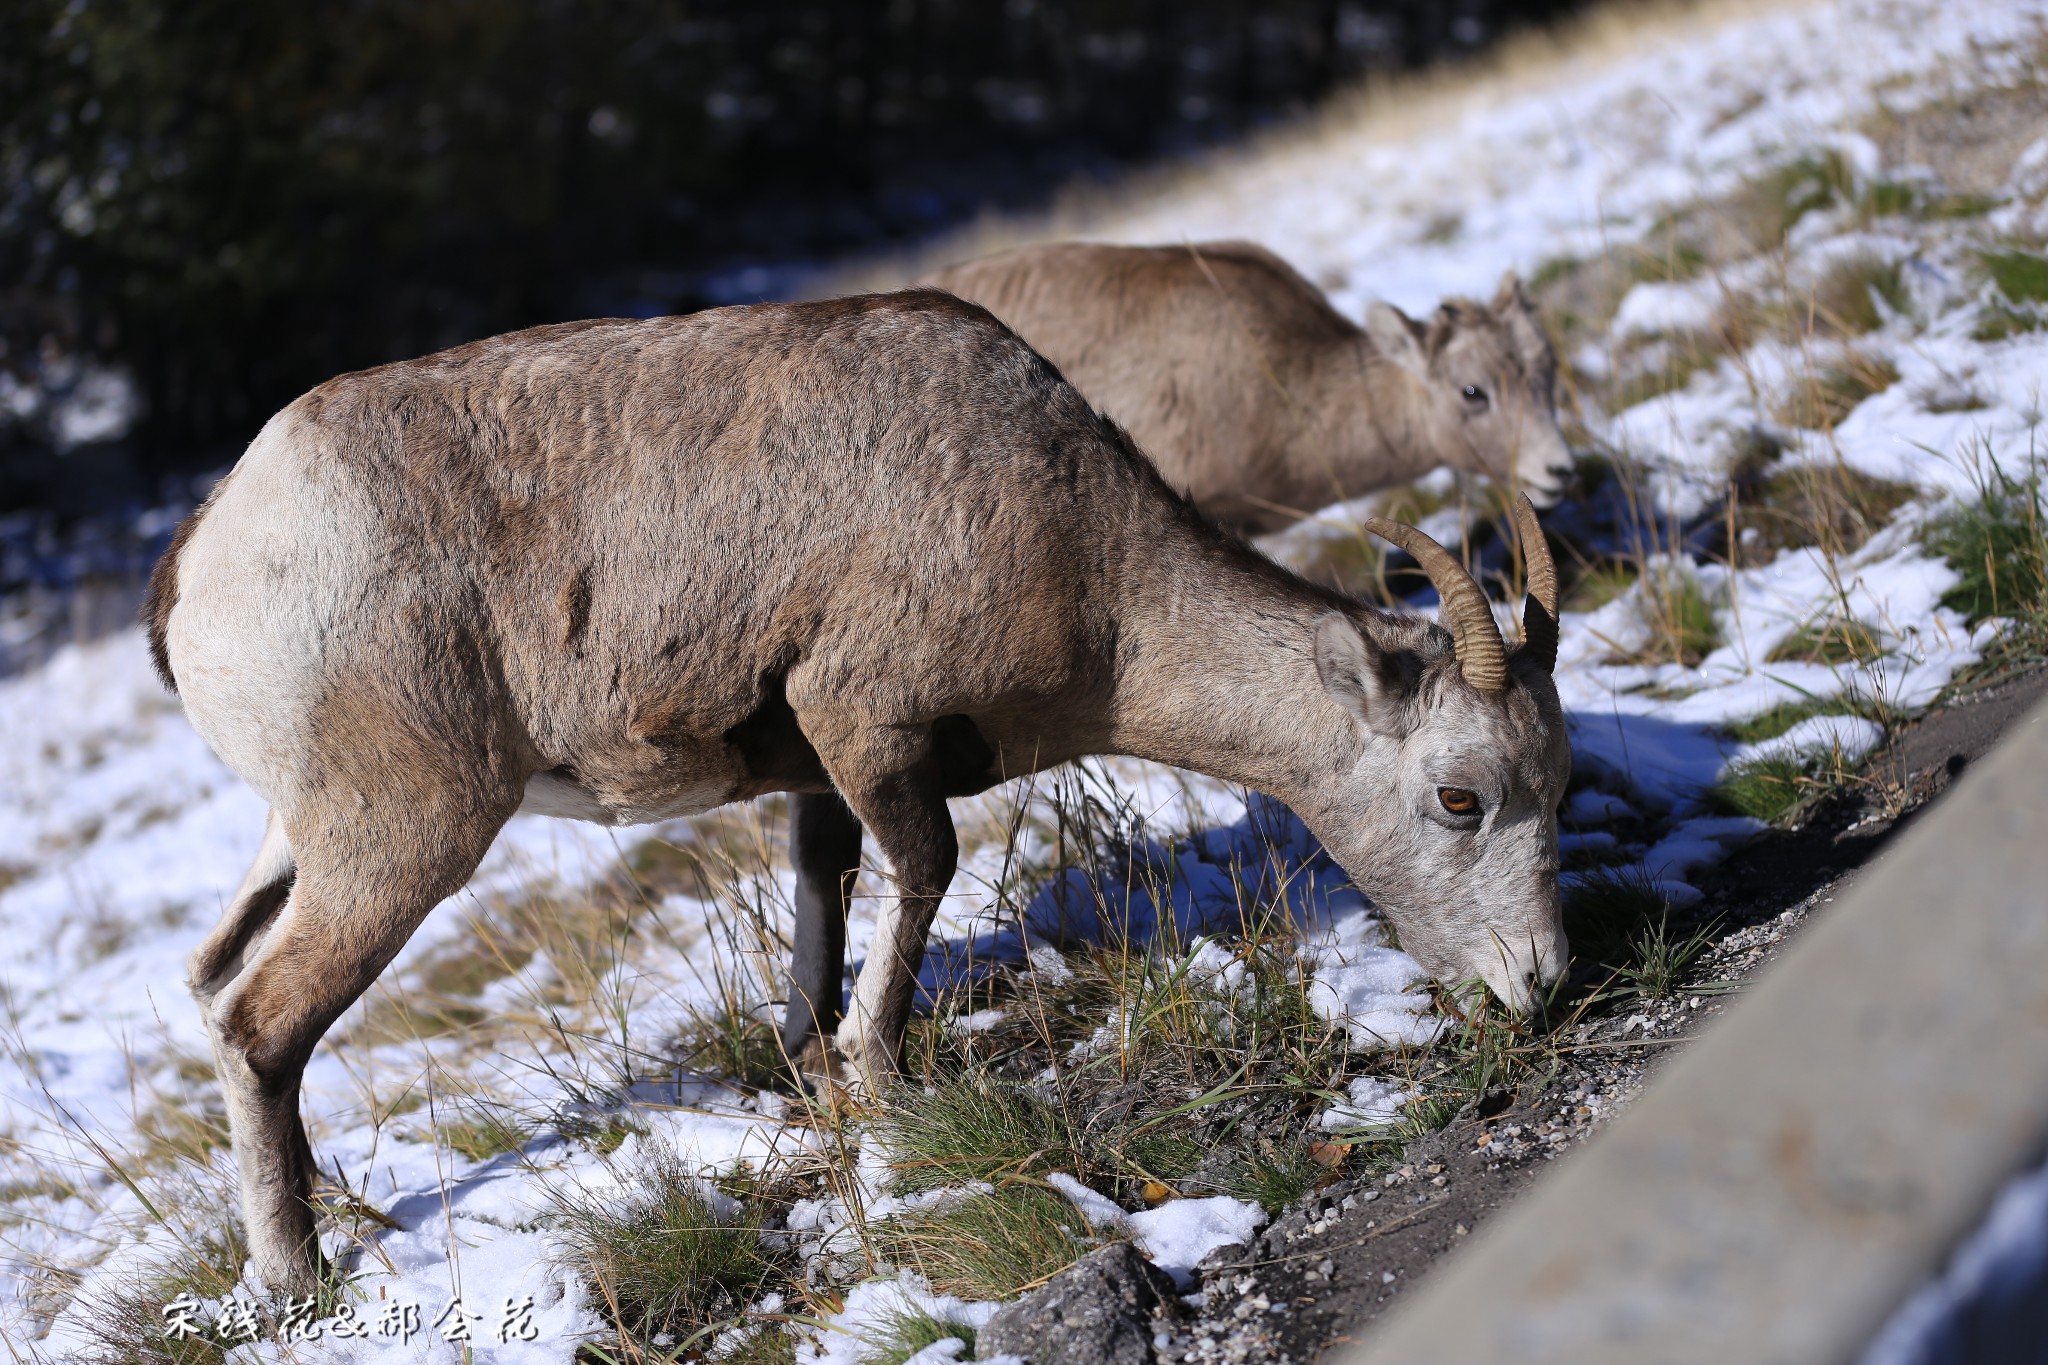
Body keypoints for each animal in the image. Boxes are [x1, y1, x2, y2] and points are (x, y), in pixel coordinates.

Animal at [148, 294, 1564, 1301]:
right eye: (1458, 798)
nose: (1539, 983)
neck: (1086, 558)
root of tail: (205, 559)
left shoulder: (820, 771)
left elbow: (827, 893)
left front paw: (813, 1060)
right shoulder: (864, 722)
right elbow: (919, 876)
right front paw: (878, 1085)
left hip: (302, 839)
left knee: (215, 985)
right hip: (399, 842)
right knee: (264, 1023)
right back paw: (297, 1279)